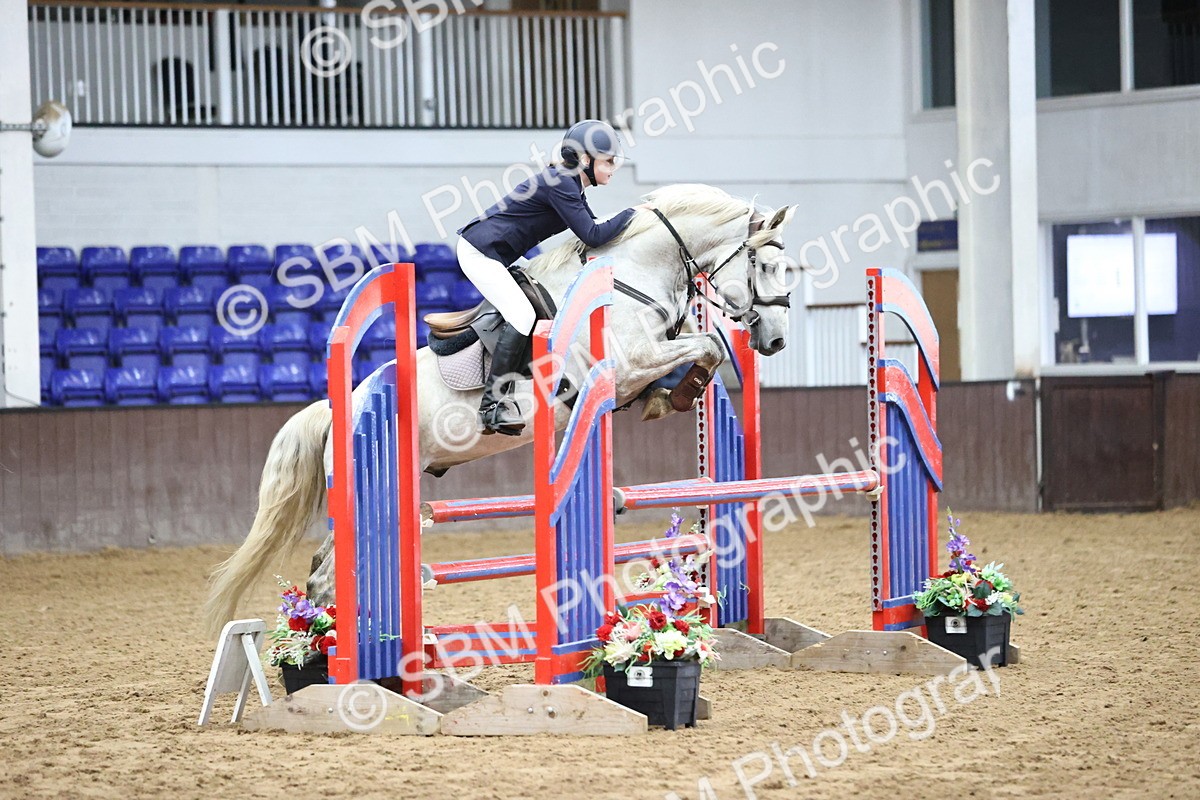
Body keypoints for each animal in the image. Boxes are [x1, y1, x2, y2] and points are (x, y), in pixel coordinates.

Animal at [203, 183, 797, 631]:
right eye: (767, 265)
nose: (775, 341)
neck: (631, 278)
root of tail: (338, 411)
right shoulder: (629, 363)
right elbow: (708, 345)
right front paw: (683, 387)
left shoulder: (638, 366)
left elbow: (702, 349)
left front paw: (674, 395)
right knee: (327, 574)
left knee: (324, 570)